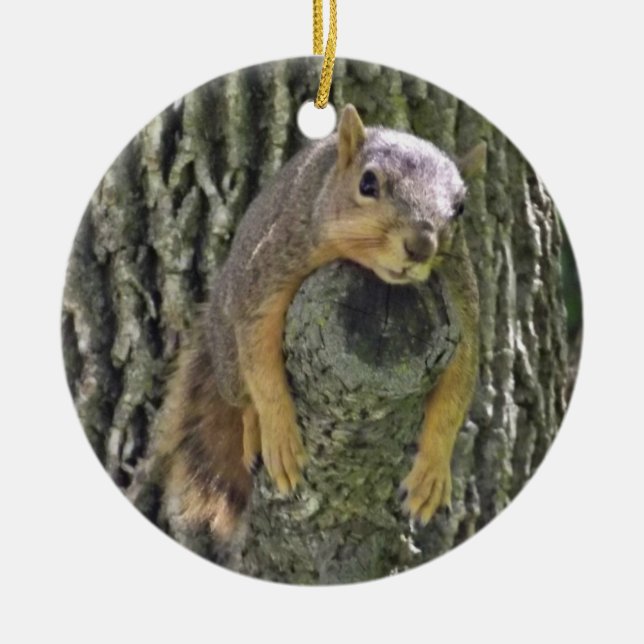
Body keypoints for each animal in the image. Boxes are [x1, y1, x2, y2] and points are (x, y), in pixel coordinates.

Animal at [158, 104, 482, 540]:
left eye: (461, 207)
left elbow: (456, 393)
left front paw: (432, 472)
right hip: (227, 351)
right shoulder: (276, 264)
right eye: (368, 183)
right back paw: (254, 431)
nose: (421, 246)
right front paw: (279, 435)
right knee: (242, 395)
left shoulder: (460, 301)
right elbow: (261, 358)